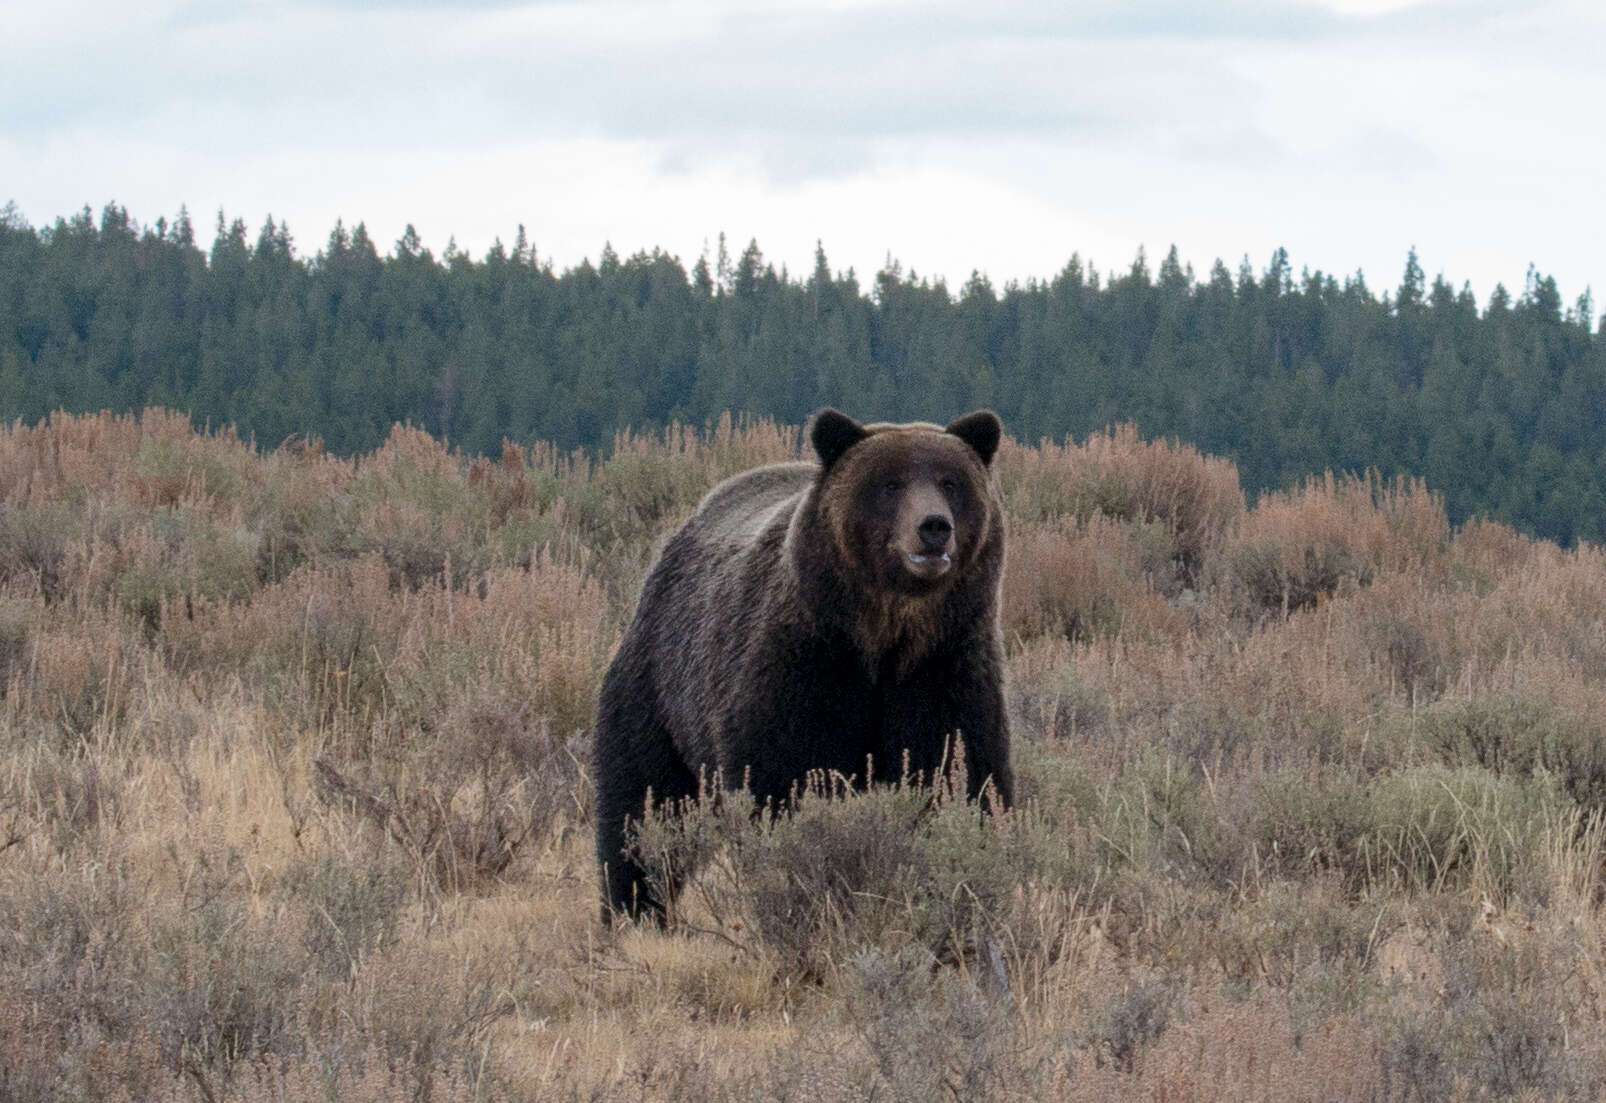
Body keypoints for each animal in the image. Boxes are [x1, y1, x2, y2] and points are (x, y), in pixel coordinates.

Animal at [597, 409, 1008, 918]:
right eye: (889, 483)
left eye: (951, 482)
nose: (933, 526)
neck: (884, 637)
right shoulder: (807, 663)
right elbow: (784, 779)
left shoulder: (944, 665)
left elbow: (959, 771)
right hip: (659, 686)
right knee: (643, 804)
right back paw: (634, 909)